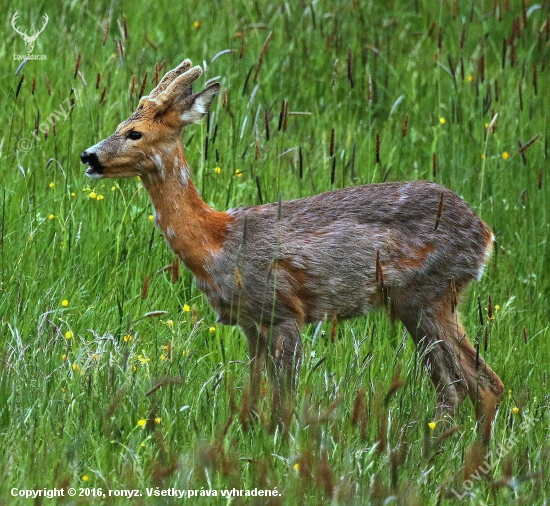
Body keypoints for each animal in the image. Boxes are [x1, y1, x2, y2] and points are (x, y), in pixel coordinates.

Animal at [80, 59, 506, 430]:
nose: (88, 155)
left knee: (462, 387)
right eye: (119, 124)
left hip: (424, 294)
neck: (216, 243)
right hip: (434, 301)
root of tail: (485, 234)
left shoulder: (284, 308)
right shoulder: (250, 321)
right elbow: (254, 394)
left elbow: (284, 401)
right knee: (481, 384)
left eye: (135, 133)